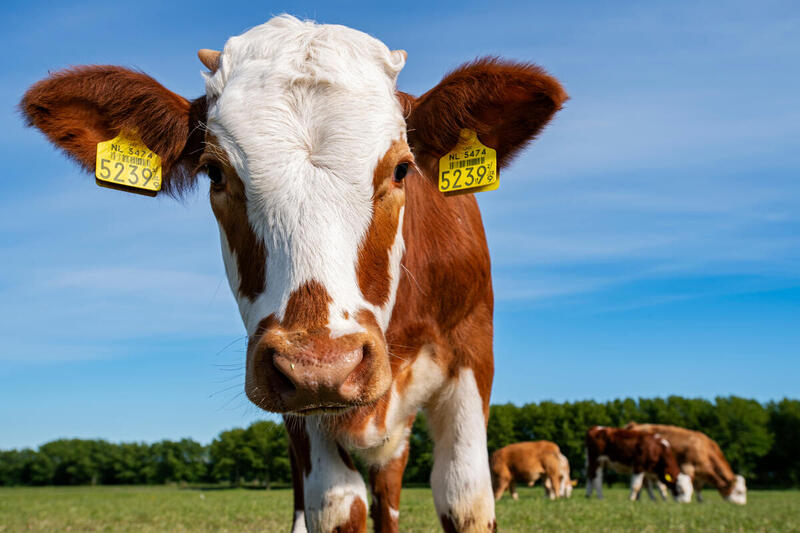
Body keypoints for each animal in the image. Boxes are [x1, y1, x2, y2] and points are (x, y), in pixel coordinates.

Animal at [20, 15, 567, 533]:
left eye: (401, 169)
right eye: (215, 172)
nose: (321, 365)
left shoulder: (472, 354)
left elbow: (463, 499)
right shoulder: (302, 414)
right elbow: (338, 504)